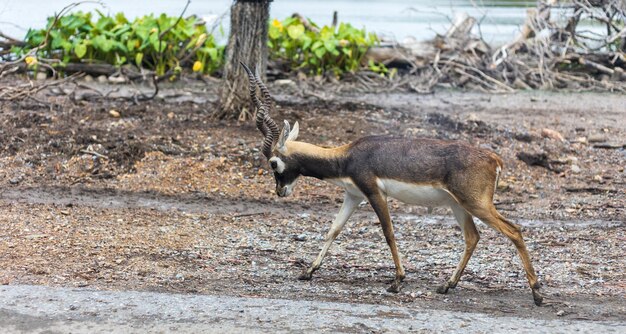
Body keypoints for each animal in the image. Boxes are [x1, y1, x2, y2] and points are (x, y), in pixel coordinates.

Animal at [239, 62, 540, 306]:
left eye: (273, 163)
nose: (280, 191)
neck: (346, 157)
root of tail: (494, 158)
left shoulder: (374, 193)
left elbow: (388, 233)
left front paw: (397, 281)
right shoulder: (353, 196)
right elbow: (333, 231)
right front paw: (308, 271)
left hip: (476, 204)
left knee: (514, 231)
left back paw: (537, 293)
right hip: (458, 205)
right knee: (472, 237)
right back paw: (447, 285)